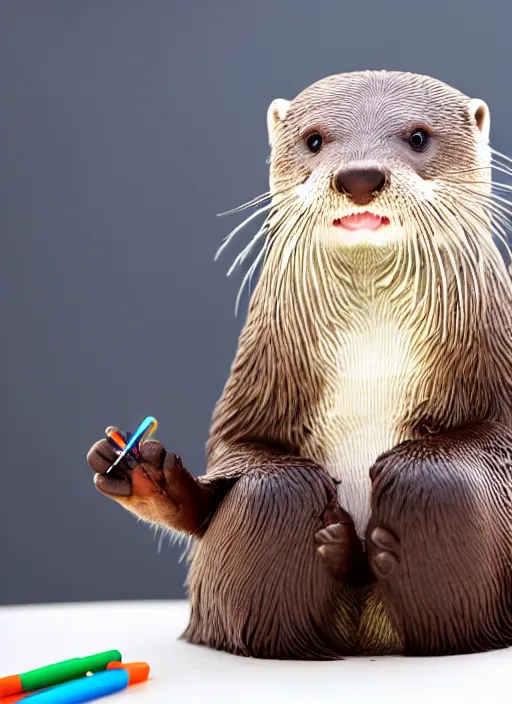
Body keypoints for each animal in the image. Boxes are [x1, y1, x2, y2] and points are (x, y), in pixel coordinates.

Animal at [86, 71, 512, 660]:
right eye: (314, 140)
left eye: (419, 137)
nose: (360, 176)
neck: (371, 364)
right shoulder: (255, 382)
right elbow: (238, 469)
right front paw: (147, 474)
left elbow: (469, 458)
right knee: (275, 493)